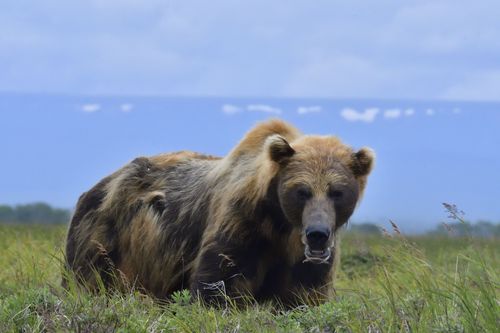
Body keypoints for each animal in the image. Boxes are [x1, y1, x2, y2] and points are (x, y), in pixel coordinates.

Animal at [64, 118, 374, 304]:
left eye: (337, 192)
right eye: (302, 191)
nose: (317, 234)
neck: (279, 224)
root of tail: (99, 184)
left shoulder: (300, 258)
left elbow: (303, 296)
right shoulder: (240, 225)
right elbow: (218, 285)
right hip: (107, 238)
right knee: (91, 281)